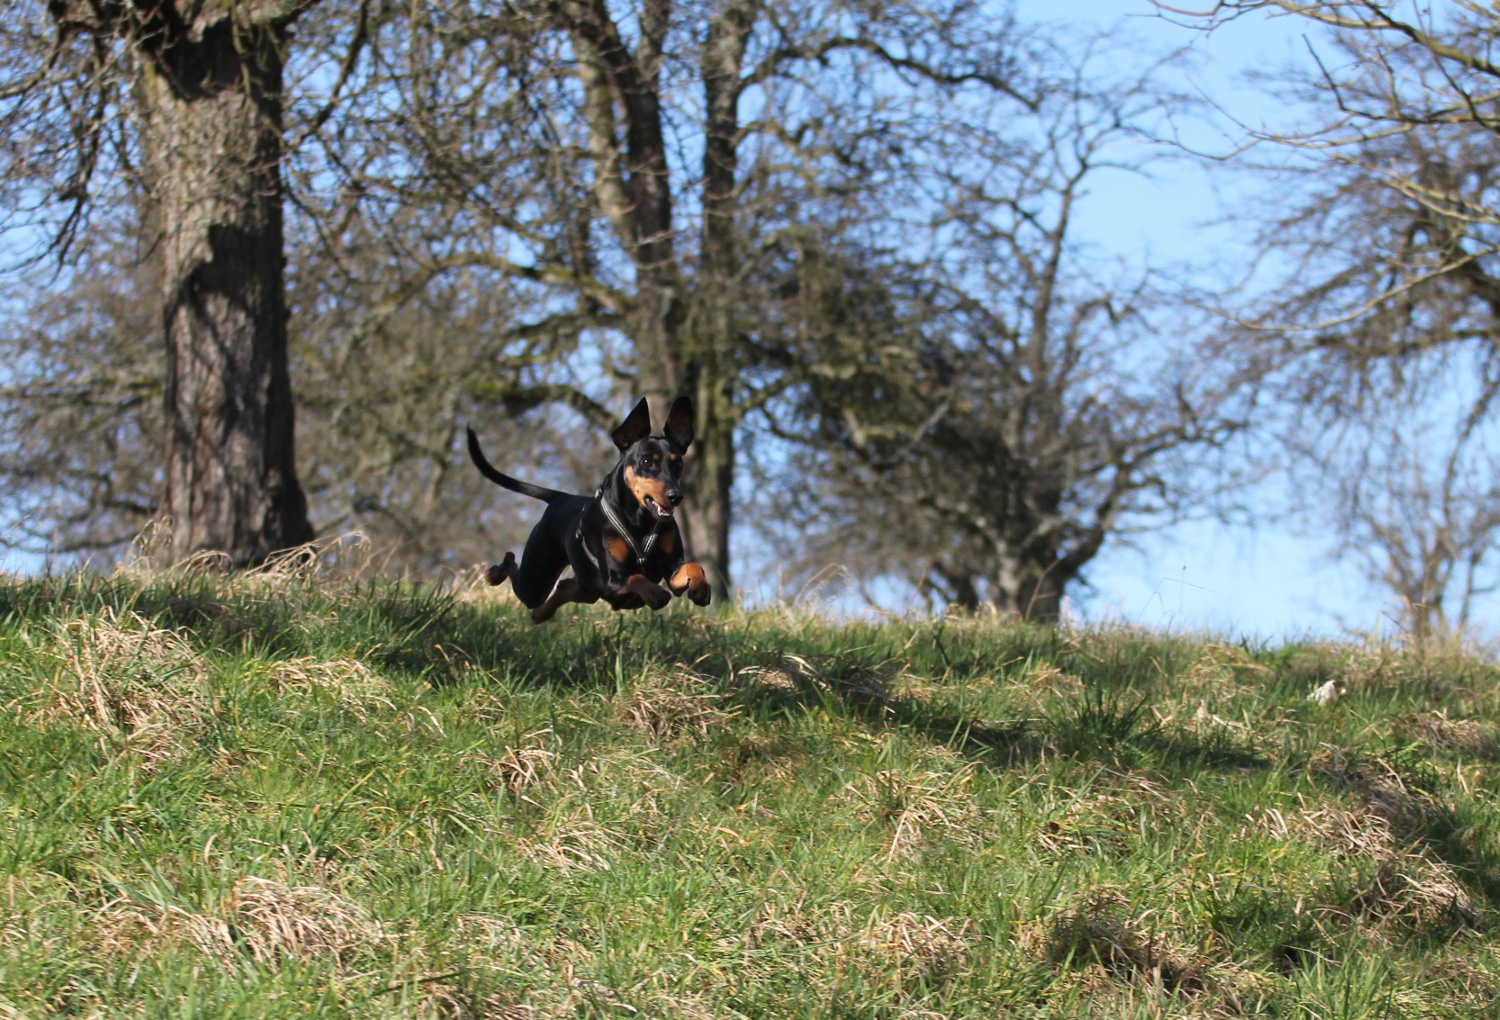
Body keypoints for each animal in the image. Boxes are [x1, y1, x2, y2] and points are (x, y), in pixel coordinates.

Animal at [465, 396, 711, 621]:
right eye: (646, 462)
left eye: (678, 464)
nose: (675, 496)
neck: (640, 521)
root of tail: (561, 498)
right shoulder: (613, 580)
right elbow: (637, 578)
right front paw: (654, 593)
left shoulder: (672, 570)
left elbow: (693, 566)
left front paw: (701, 588)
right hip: (537, 578)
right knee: (513, 565)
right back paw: (492, 575)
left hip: (586, 588)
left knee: (563, 588)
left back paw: (540, 614)